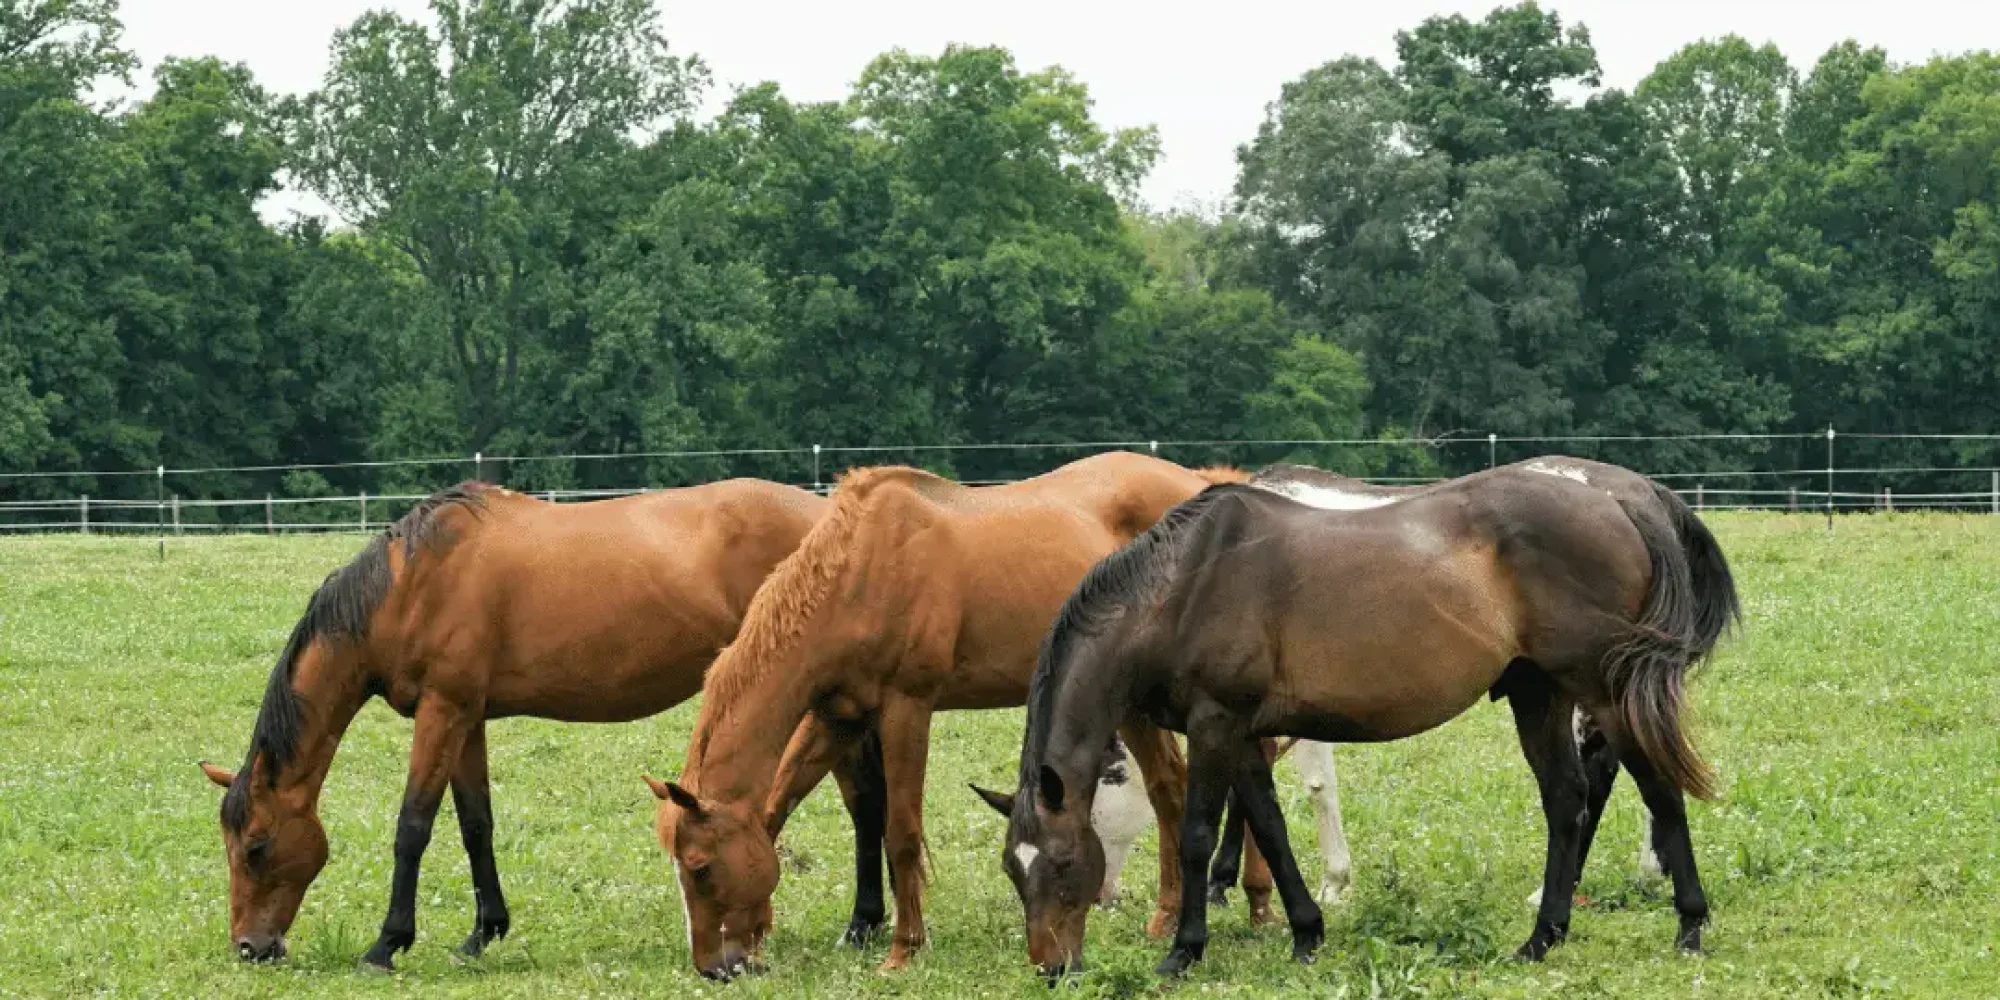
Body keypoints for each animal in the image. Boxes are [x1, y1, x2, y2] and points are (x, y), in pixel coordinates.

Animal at [197, 476, 860, 968]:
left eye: (256, 847)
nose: (251, 947)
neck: (412, 584)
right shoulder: (466, 719)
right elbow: (475, 825)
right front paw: (483, 932)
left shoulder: (442, 712)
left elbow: (413, 826)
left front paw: (386, 945)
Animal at [640, 450, 1264, 980]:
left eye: (699, 866)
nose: (714, 968)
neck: (863, 567)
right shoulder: (837, 717)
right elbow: (783, 807)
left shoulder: (907, 709)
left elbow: (901, 832)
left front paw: (904, 949)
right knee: (1169, 789)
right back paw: (1176, 915)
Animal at [984, 458, 1736, 976]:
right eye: (1013, 871)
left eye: (1061, 863)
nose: (1051, 968)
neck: (1183, 587)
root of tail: (1621, 499)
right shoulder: (1244, 733)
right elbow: (1269, 825)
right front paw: (1306, 932)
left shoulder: (1214, 725)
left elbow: (1198, 833)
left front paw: (1184, 950)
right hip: (1539, 693)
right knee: (1566, 799)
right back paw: (1541, 937)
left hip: (1604, 689)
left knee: (1657, 788)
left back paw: (1690, 925)